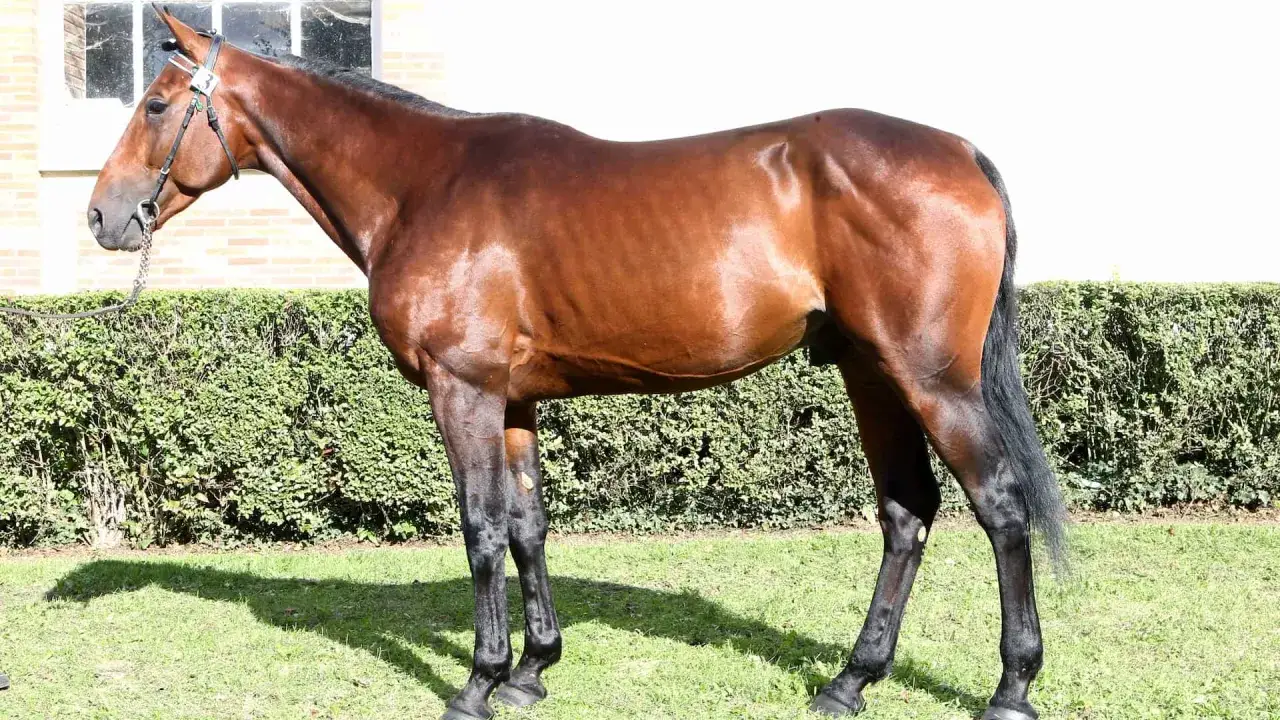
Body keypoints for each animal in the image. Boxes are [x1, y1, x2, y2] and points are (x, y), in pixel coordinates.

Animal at [87, 8, 1067, 720]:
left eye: (156, 104)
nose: (102, 216)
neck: (422, 185)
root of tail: (958, 151)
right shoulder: (514, 402)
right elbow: (528, 527)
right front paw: (533, 670)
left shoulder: (463, 391)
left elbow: (481, 529)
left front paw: (478, 683)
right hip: (871, 372)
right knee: (907, 512)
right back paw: (849, 682)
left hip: (931, 378)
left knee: (999, 506)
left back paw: (1011, 689)